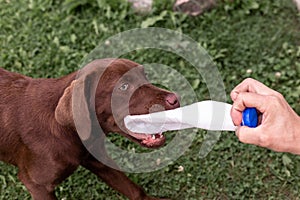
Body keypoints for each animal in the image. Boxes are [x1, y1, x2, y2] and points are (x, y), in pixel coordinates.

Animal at [0, 58, 178, 200]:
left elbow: (133, 189)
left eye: (145, 76)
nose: (175, 98)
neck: (69, 132)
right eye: (124, 86)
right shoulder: (37, 185)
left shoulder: (97, 159)